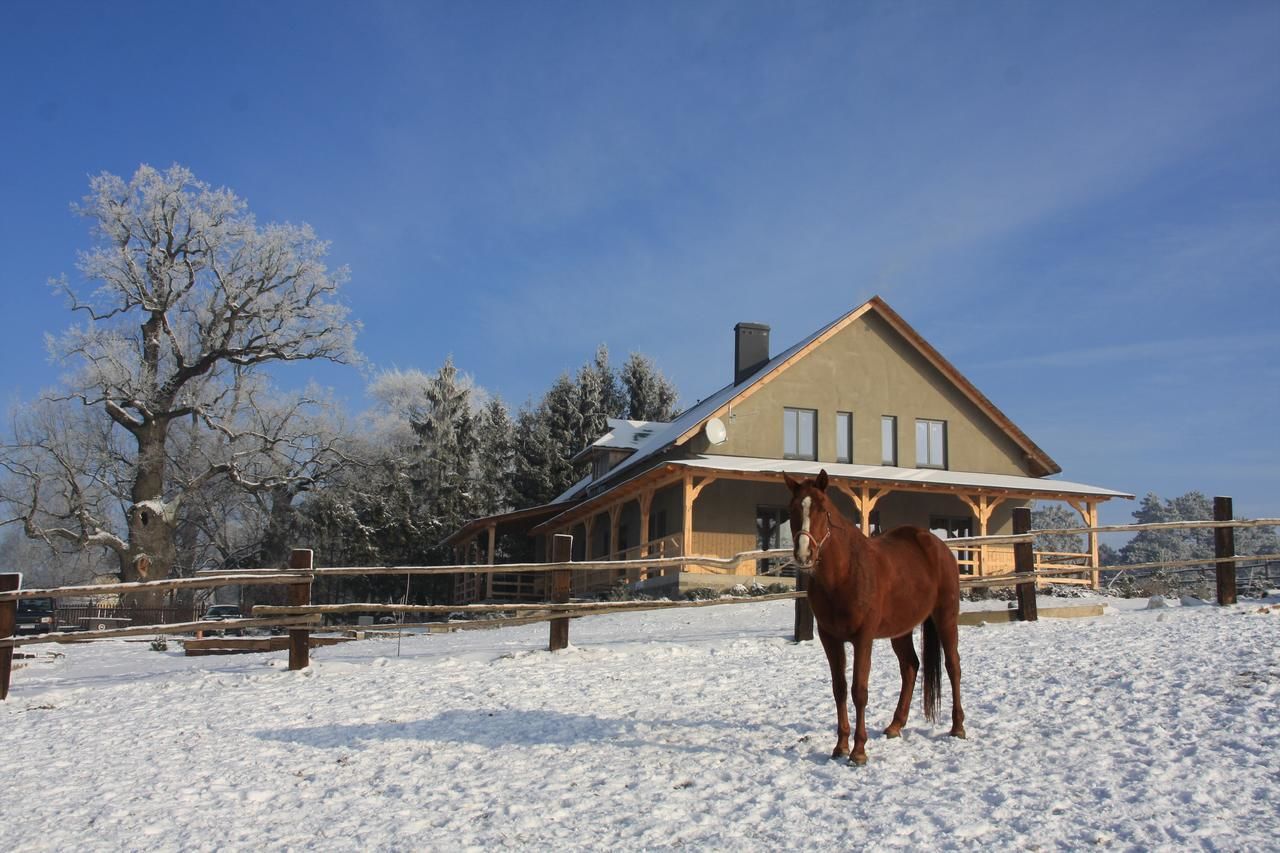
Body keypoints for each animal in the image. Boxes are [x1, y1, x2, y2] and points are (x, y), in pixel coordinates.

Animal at [783, 468, 962, 758]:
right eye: (792, 508)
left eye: (822, 508)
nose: (803, 553)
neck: (843, 575)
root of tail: (937, 545)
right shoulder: (829, 638)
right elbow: (840, 689)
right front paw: (841, 746)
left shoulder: (863, 638)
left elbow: (859, 690)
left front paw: (858, 751)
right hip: (901, 630)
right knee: (910, 666)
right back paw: (895, 725)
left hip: (946, 617)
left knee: (952, 666)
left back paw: (958, 727)